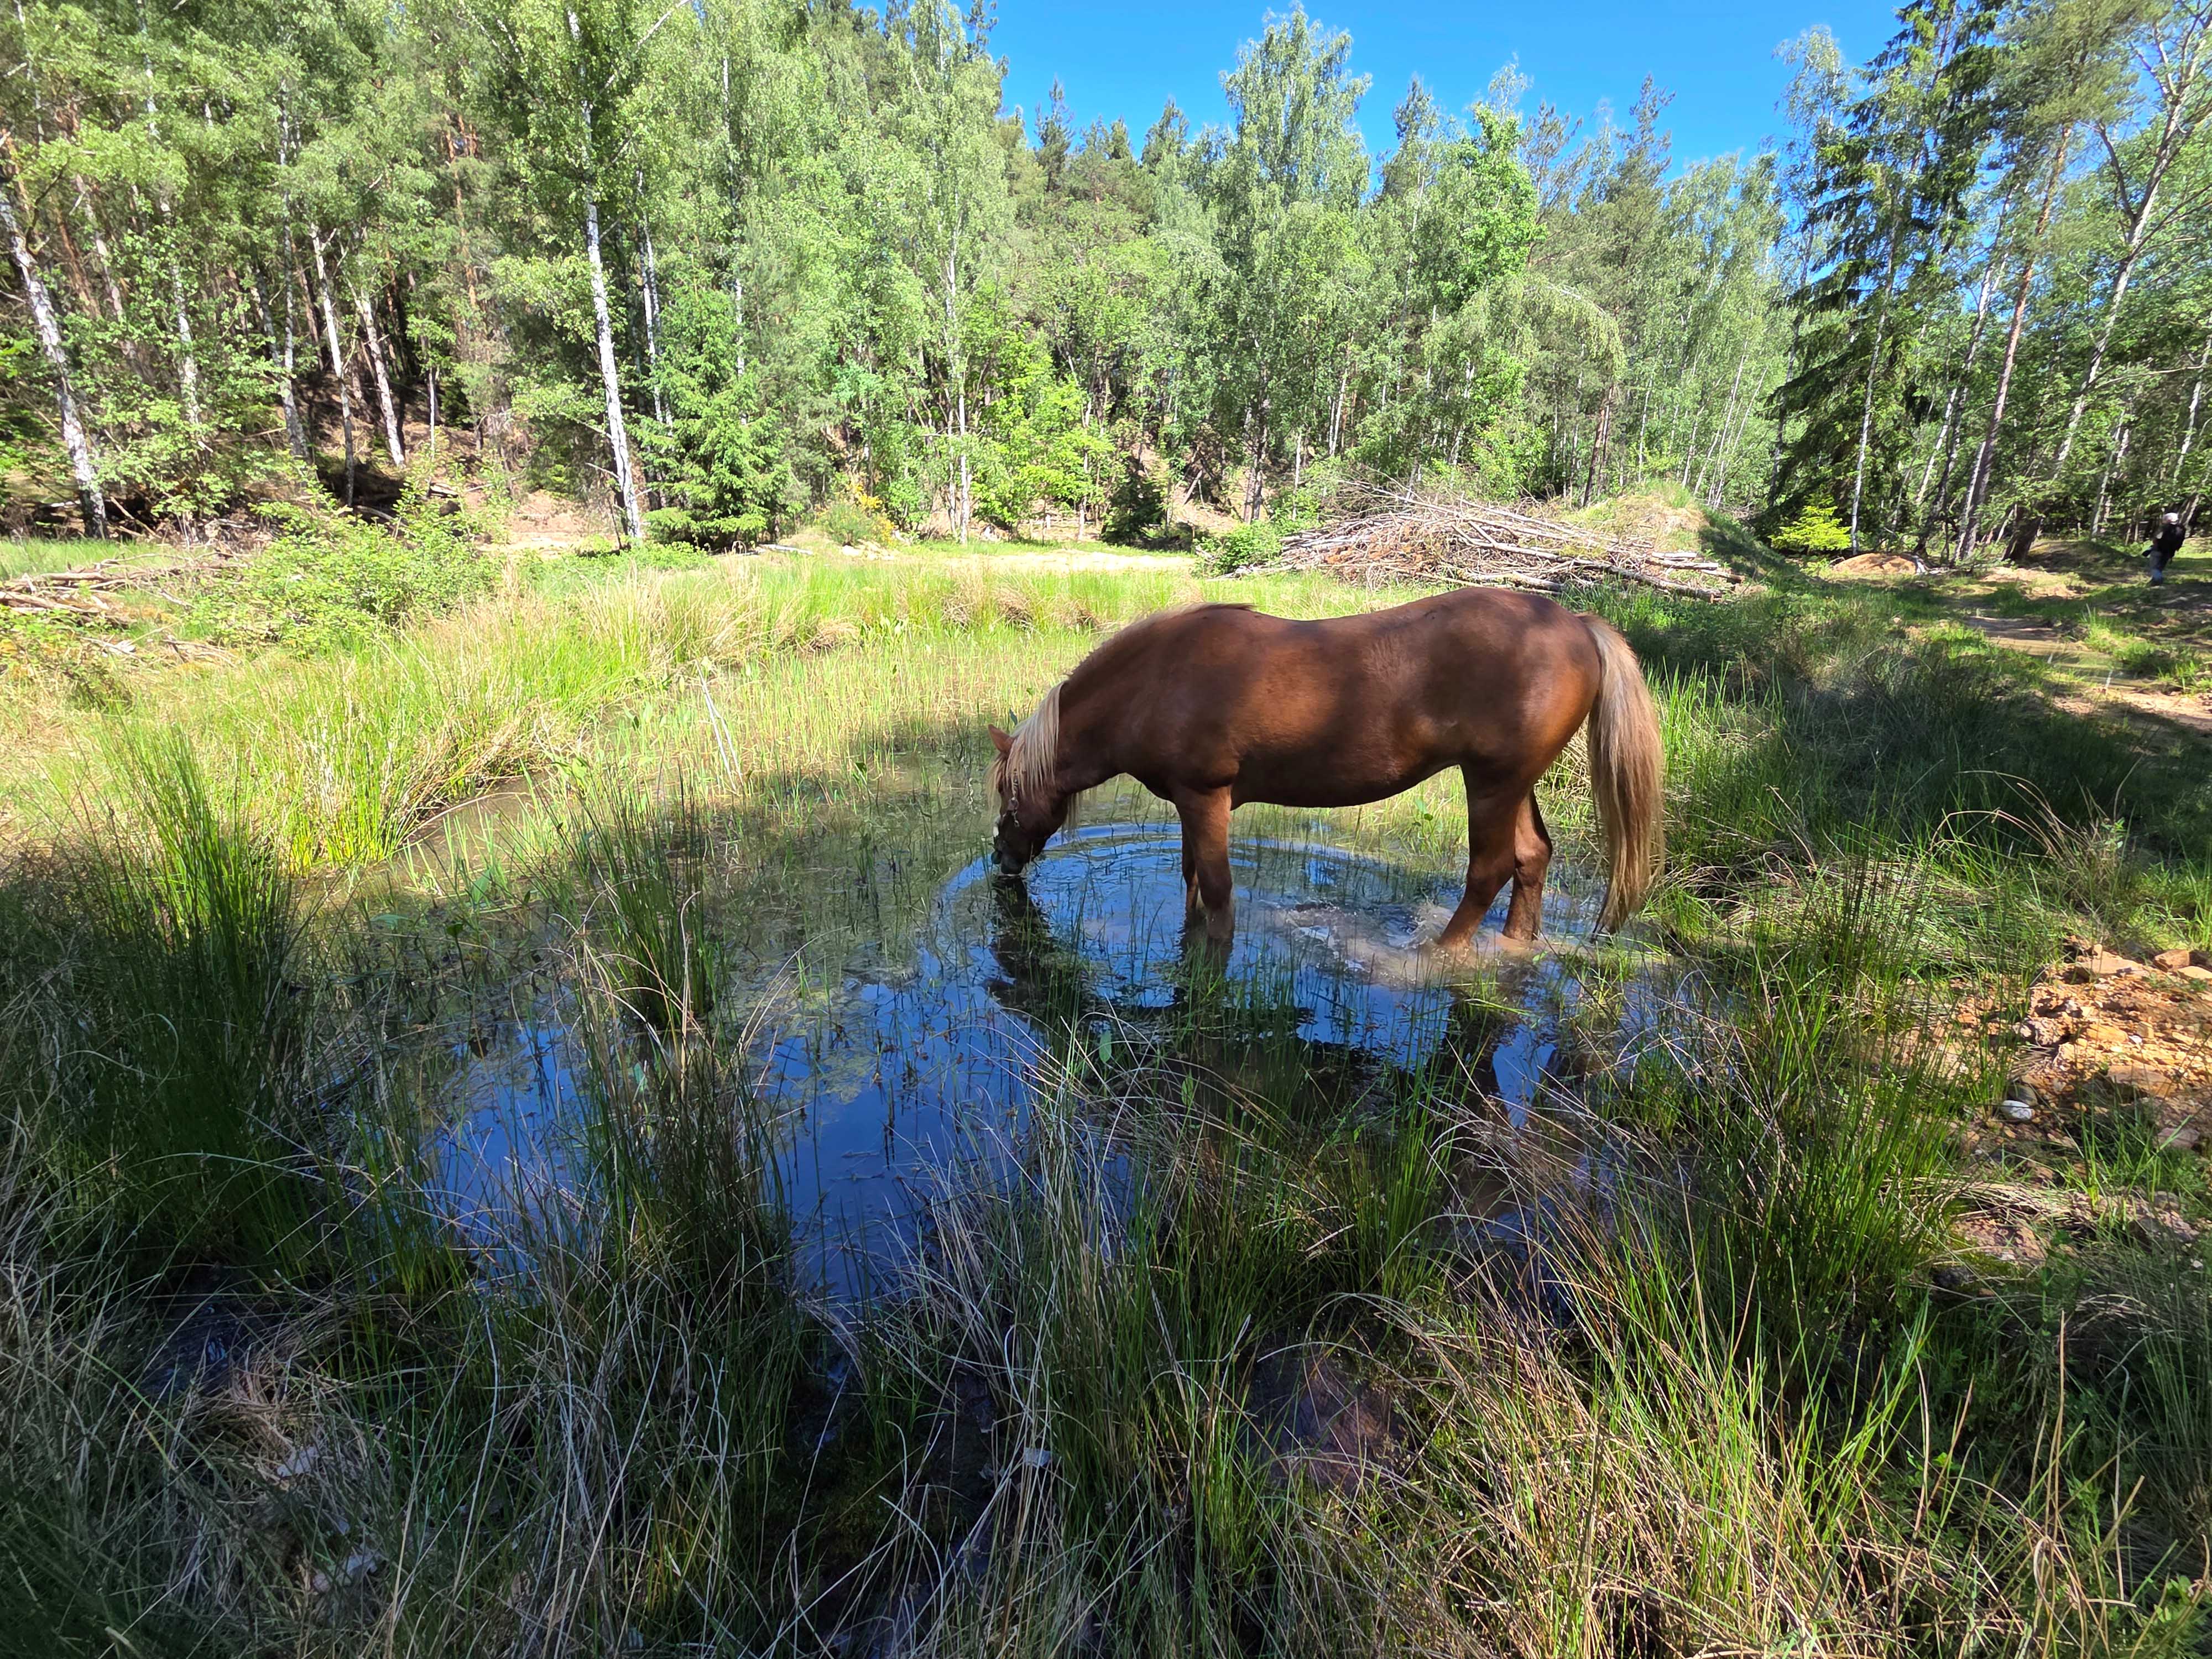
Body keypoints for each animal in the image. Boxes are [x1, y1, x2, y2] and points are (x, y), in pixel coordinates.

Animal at [988, 589, 1665, 949]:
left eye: (1007, 793)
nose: (1000, 859)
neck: (1156, 681)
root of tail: (1576, 624)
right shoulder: (1188, 802)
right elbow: (1191, 882)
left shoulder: (1206, 796)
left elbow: (1218, 890)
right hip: (1512, 782)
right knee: (1531, 858)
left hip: (1492, 784)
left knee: (1490, 870)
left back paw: (1436, 955)